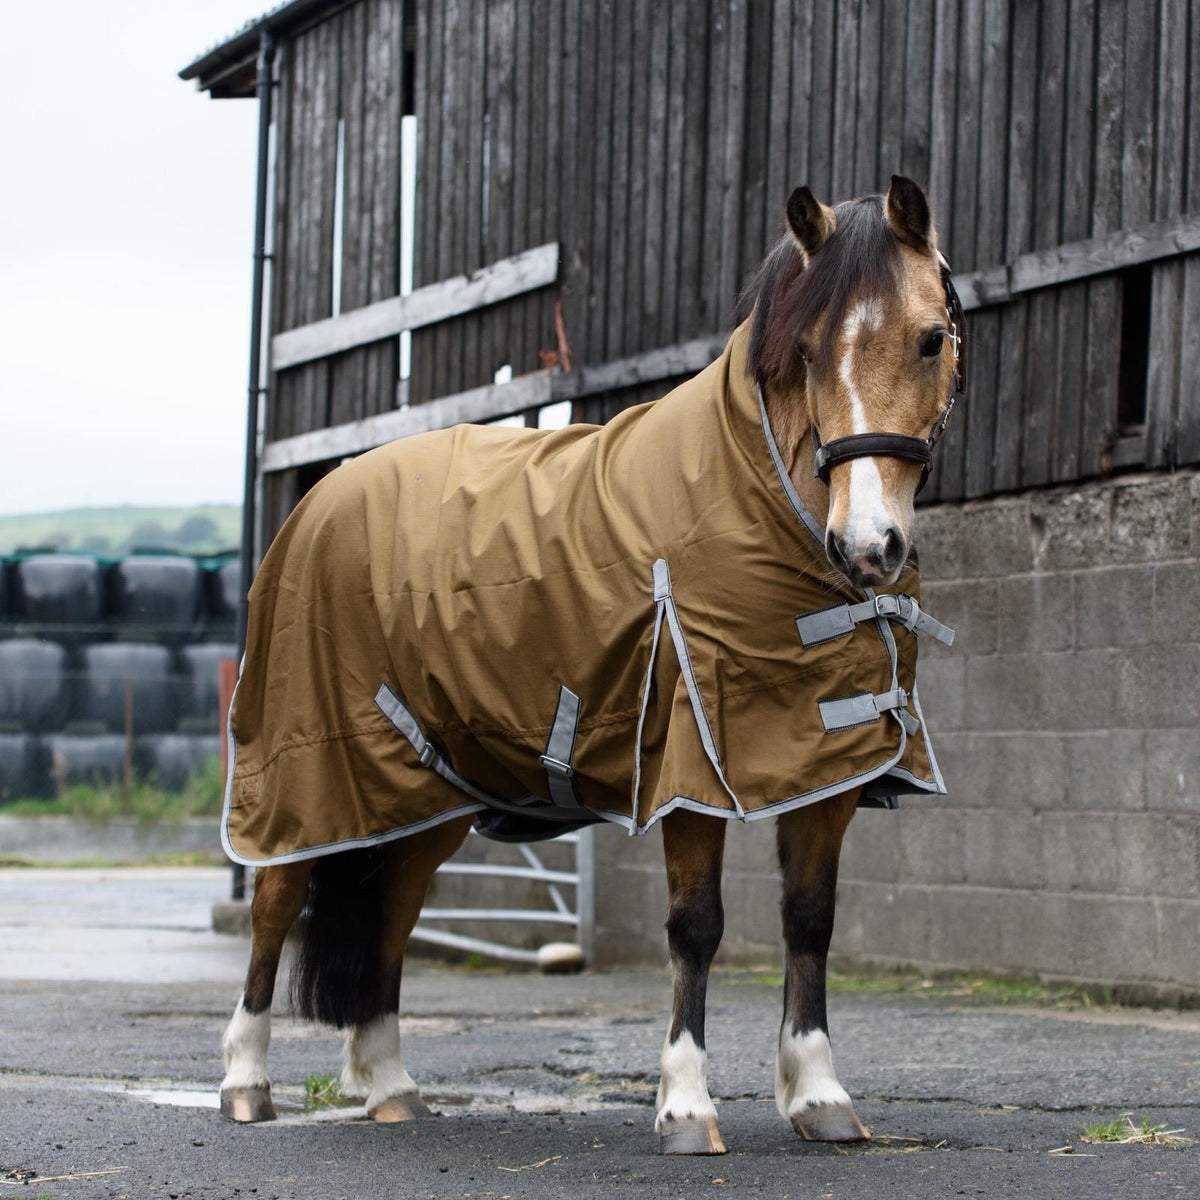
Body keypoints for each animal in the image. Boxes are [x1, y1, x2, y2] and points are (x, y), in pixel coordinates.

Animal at [217, 175, 964, 1156]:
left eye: (930, 338)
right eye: (805, 352)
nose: (868, 547)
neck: (758, 493)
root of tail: (321, 499)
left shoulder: (825, 768)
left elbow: (810, 922)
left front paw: (819, 1097)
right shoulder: (691, 771)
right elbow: (696, 927)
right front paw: (685, 1106)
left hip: (418, 796)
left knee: (391, 916)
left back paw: (389, 1085)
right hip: (305, 776)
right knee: (274, 903)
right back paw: (245, 1082)